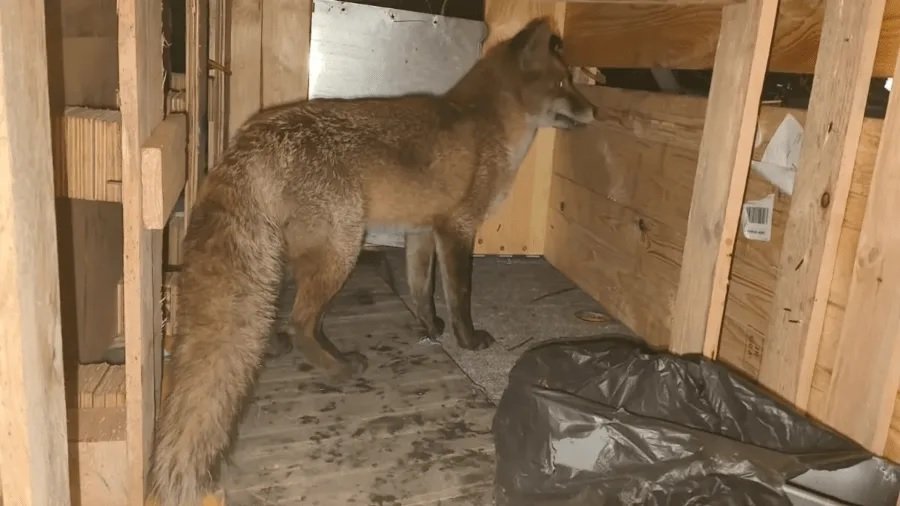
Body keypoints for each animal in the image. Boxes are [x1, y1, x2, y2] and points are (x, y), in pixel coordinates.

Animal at [148, 16, 597, 506]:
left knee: (291, 317)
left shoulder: (420, 232)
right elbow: (460, 294)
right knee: (300, 323)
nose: (596, 111)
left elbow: (421, 290)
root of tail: (250, 136)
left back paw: (294, 348)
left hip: (303, 253)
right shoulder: (457, 228)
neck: (490, 126)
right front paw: (467, 339)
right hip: (343, 245)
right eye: (563, 83)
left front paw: (430, 328)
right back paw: (339, 369)